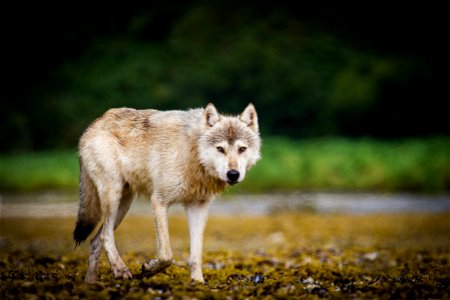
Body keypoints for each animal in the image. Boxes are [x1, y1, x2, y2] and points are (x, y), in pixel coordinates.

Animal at [73, 103, 260, 284]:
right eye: (220, 149)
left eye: (242, 149)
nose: (233, 174)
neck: (192, 152)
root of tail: (96, 121)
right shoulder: (159, 201)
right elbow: (166, 255)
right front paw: (148, 269)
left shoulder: (198, 207)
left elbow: (196, 255)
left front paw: (198, 281)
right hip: (113, 196)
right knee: (105, 235)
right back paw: (121, 270)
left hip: (123, 206)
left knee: (96, 240)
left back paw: (91, 282)